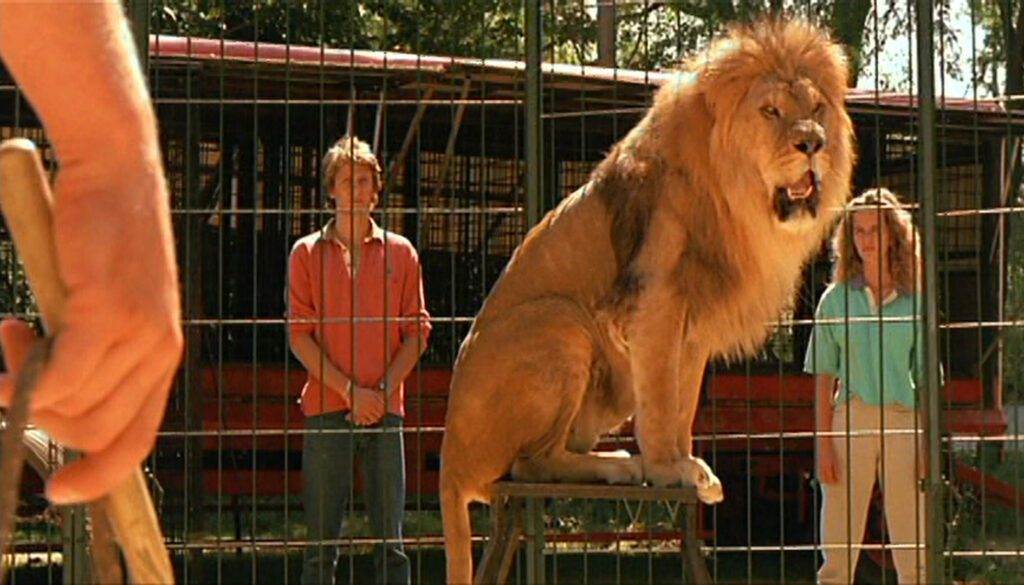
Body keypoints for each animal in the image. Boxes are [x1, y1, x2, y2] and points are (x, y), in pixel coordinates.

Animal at [440, 19, 856, 585]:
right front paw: (663, 470)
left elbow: (681, 403)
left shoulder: (694, 323)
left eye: (815, 108)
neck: (738, 201)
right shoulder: (655, 302)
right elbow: (659, 401)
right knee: (530, 463)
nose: (812, 142)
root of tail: (448, 463)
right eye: (770, 111)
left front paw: (688, 465)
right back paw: (621, 463)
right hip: (561, 322)